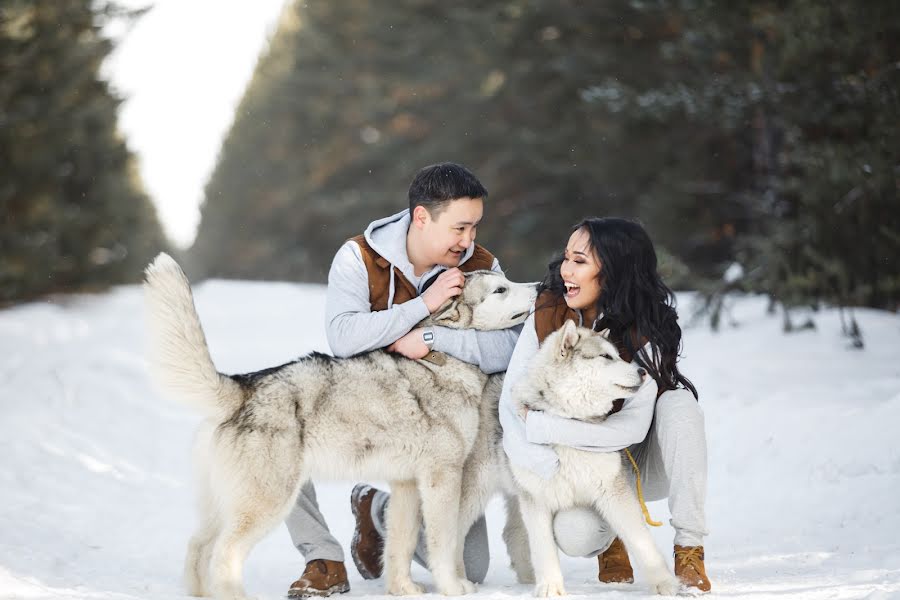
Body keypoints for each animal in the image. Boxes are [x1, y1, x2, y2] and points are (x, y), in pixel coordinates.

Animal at [142, 253, 536, 600]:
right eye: (501, 289)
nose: (537, 286)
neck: (447, 360)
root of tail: (243, 385)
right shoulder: (443, 477)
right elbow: (443, 541)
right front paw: (453, 588)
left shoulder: (407, 484)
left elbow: (401, 543)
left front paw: (403, 589)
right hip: (269, 501)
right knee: (225, 554)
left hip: (224, 505)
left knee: (197, 546)